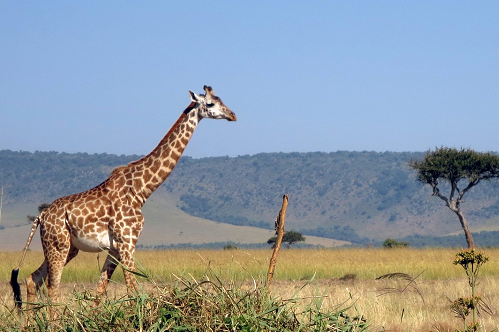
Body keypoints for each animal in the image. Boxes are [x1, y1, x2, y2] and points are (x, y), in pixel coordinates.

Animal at [10, 84, 237, 310]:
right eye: (211, 103)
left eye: (222, 99)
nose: (232, 115)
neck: (141, 190)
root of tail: (41, 216)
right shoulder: (127, 242)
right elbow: (133, 290)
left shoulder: (115, 247)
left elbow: (100, 292)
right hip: (58, 245)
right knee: (52, 286)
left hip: (67, 248)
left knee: (33, 279)